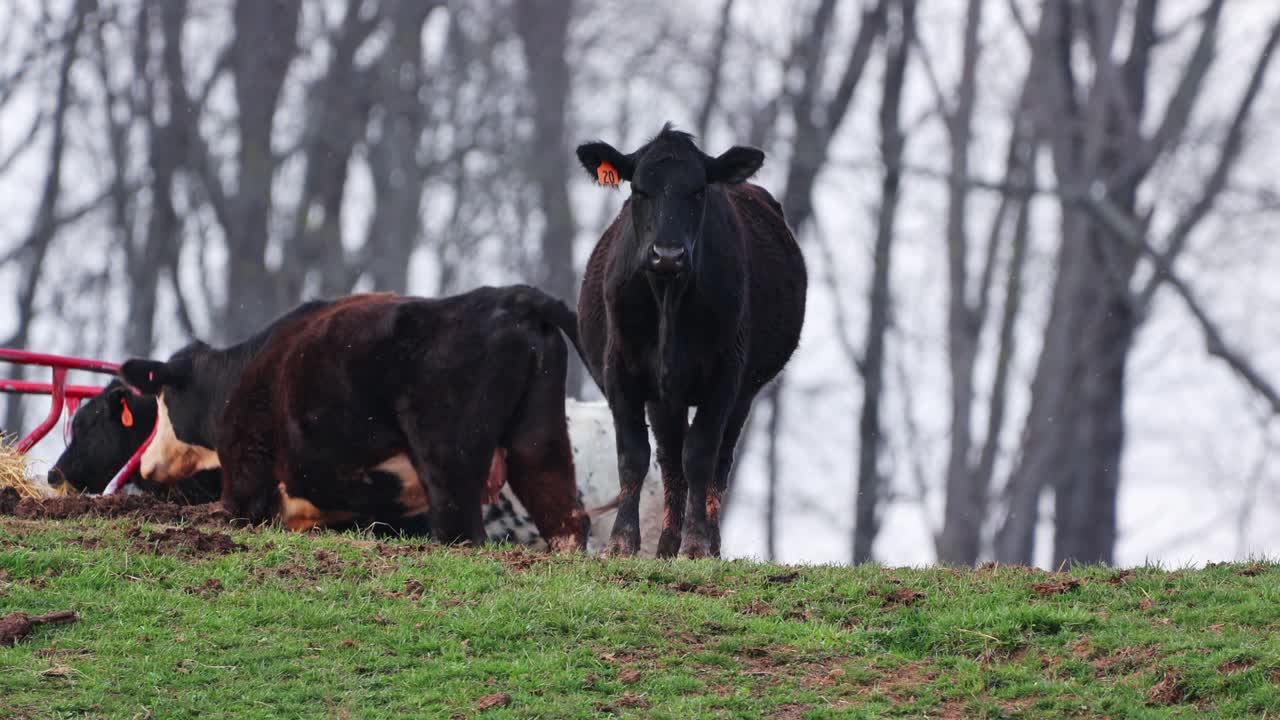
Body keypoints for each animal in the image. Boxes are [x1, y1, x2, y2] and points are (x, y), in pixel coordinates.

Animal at [124, 287, 590, 551]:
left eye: (163, 400)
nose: (144, 464)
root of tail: (510, 298)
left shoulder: (246, 485)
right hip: (539, 442)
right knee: (566, 521)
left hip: (449, 460)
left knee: (464, 532)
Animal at [574, 123, 808, 559]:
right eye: (639, 190)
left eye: (698, 191)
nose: (668, 254)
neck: (669, 297)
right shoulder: (621, 371)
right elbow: (633, 456)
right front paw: (622, 541)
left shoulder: (725, 375)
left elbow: (700, 455)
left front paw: (697, 543)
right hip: (664, 397)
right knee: (669, 461)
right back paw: (667, 543)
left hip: (743, 391)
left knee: (717, 462)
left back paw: (707, 543)